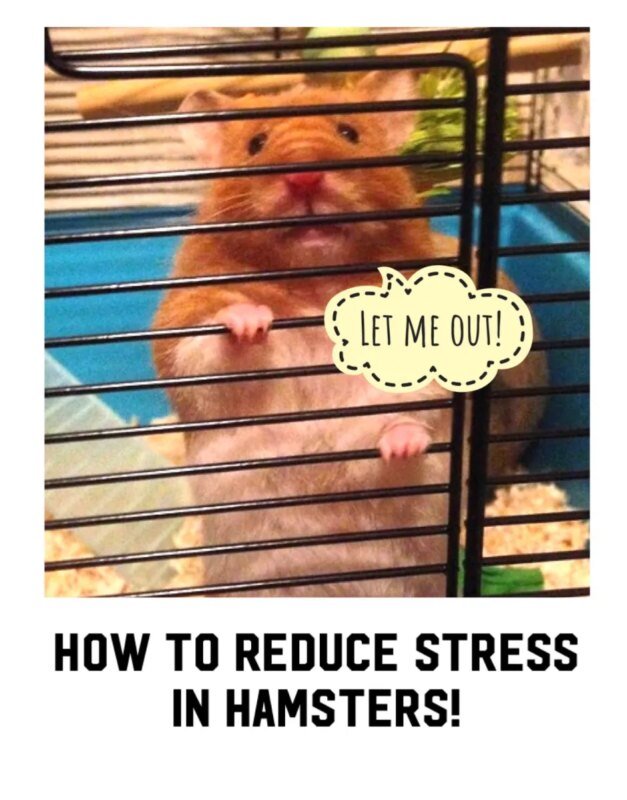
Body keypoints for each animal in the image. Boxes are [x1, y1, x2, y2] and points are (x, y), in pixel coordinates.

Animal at [153, 71, 547, 597]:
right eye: (256, 143)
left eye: (349, 133)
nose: (304, 177)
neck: (317, 284)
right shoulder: (190, 340)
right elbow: (215, 347)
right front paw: (251, 320)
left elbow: (416, 393)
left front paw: (404, 432)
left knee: (394, 467)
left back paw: (403, 443)